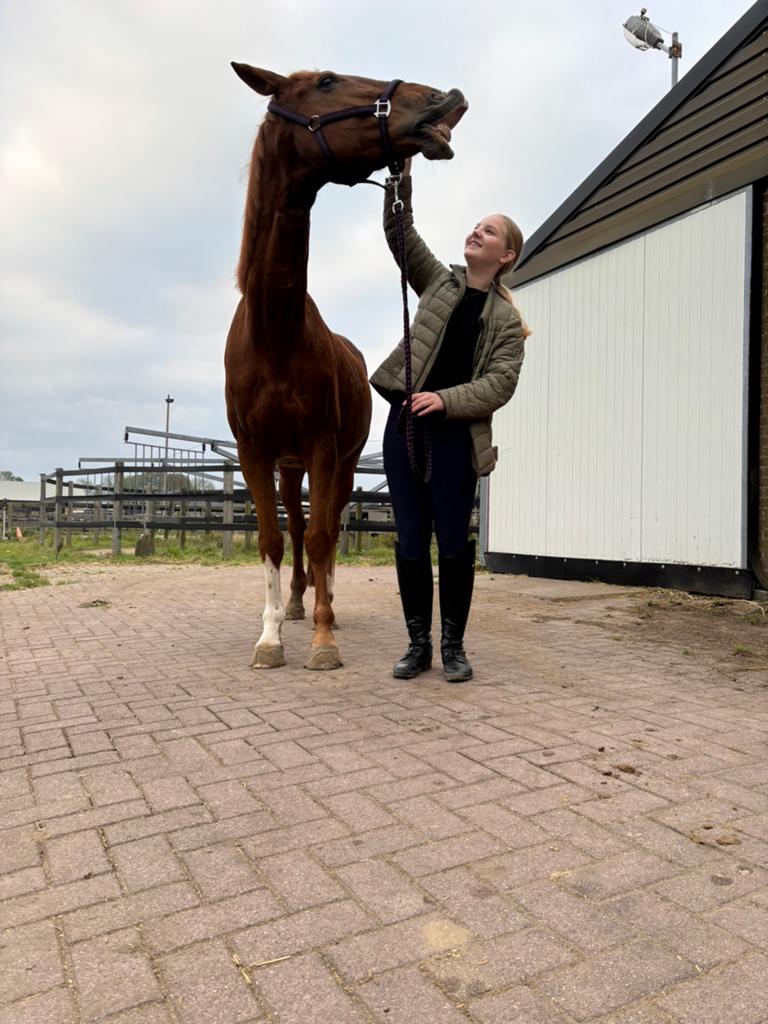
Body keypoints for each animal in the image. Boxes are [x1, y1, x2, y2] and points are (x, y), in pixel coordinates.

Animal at [226, 64, 467, 670]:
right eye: (329, 81)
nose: (441, 98)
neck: (275, 333)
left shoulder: (325, 447)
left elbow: (322, 536)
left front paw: (323, 639)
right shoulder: (255, 453)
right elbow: (273, 538)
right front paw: (270, 637)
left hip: (342, 460)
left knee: (328, 525)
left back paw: (325, 605)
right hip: (291, 467)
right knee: (299, 522)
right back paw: (294, 604)